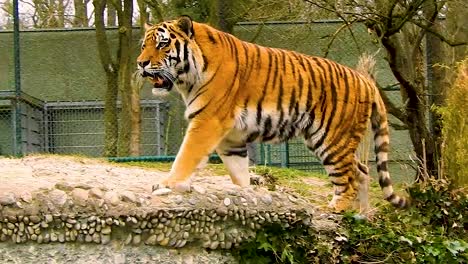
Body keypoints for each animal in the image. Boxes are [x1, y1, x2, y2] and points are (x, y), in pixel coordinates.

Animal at [137, 15, 408, 211]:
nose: (141, 63)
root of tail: (366, 80)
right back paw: (363, 215)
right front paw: (245, 196)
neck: (189, 78)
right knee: (362, 172)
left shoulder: (207, 122)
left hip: (333, 139)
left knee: (349, 179)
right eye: (143, 45)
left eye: (162, 43)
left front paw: (168, 183)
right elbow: (239, 171)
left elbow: (186, 156)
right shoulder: (230, 138)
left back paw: (335, 209)